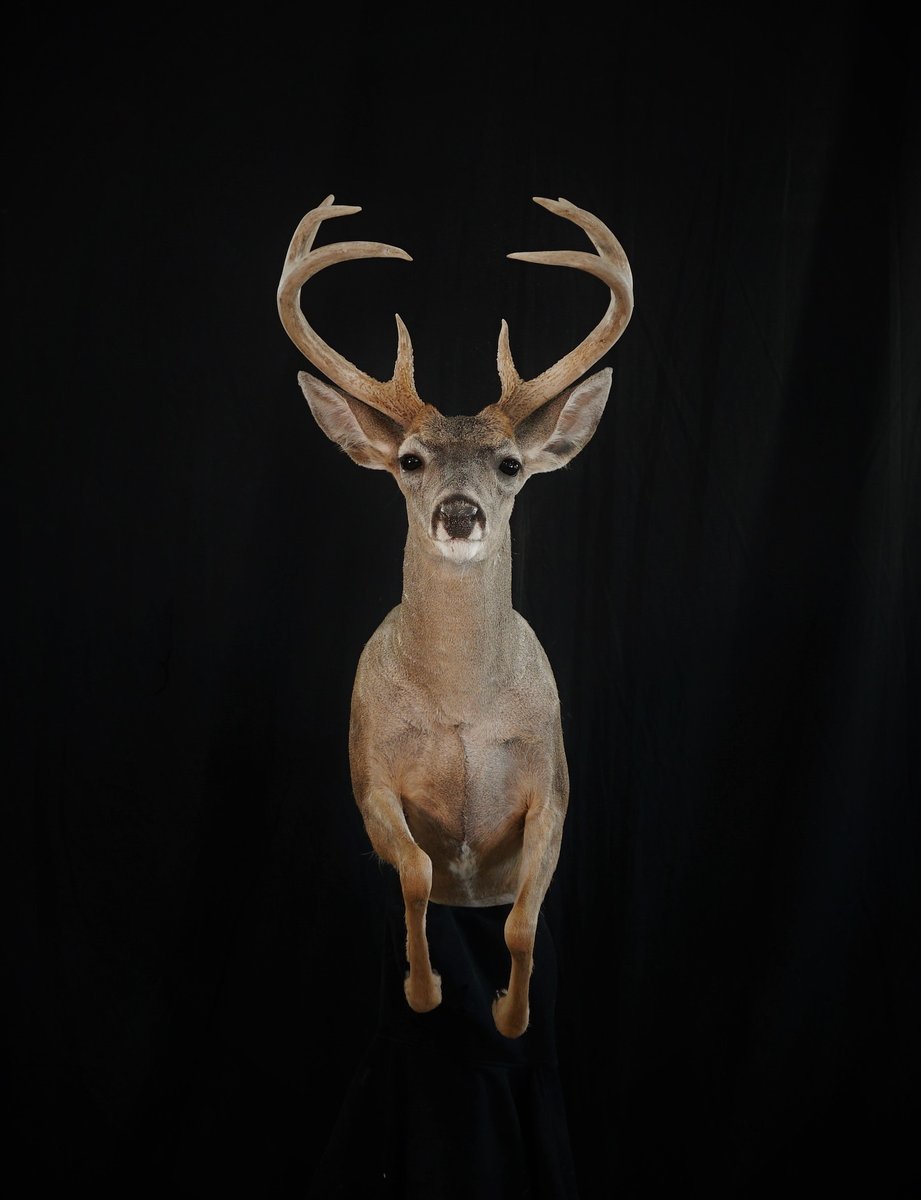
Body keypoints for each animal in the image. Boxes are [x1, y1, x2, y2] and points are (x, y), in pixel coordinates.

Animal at [277, 194, 633, 1039]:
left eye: (509, 463)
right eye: (410, 459)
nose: (460, 513)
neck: (462, 704)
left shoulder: (553, 788)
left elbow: (522, 921)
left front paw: (511, 1014)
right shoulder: (368, 774)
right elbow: (413, 869)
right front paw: (423, 987)